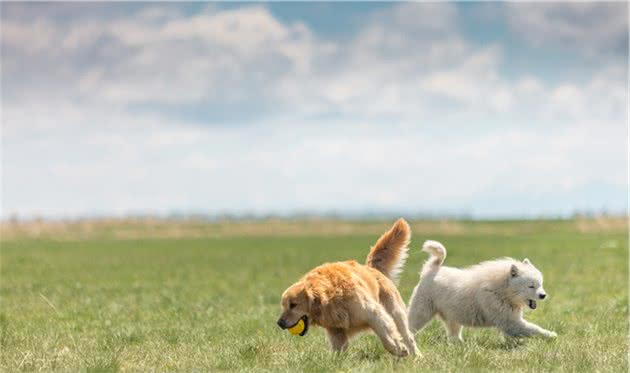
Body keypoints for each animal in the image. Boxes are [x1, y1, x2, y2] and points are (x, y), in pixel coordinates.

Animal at [408, 240, 556, 342]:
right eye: (531, 286)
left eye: (540, 284)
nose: (543, 295)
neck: (502, 290)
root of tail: (431, 270)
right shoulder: (509, 321)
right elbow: (533, 328)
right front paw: (551, 335)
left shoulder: (509, 320)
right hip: (422, 312)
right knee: (411, 325)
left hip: (452, 315)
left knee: (453, 333)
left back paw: (459, 344)